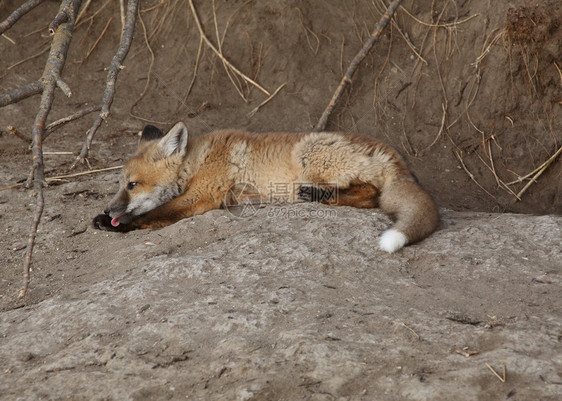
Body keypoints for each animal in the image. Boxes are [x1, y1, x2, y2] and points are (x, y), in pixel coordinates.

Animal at [94, 123, 438, 252]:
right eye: (121, 185)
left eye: (132, 185)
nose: (108, 209)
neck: (198, 161)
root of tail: (393, 154)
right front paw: (104, 220)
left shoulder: (201, 196)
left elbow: (153, 215)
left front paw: (118, 224)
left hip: (309, 154)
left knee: (370, 195)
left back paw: (317, 196)